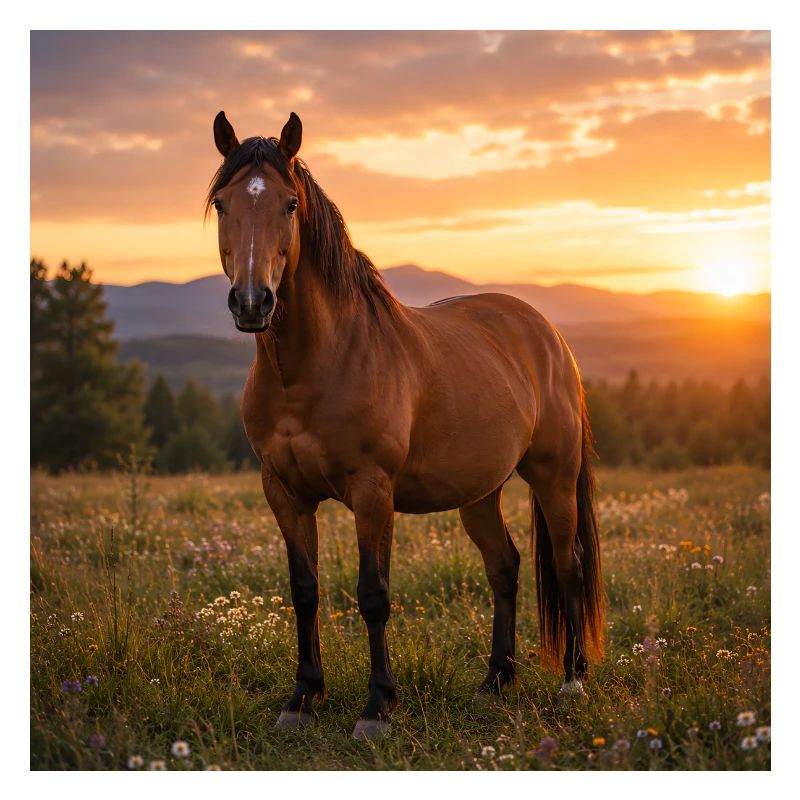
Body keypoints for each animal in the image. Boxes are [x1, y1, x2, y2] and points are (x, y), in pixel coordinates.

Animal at [206, 110, 604, 740]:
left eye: (289, 205)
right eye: (223, 204)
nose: (252, 303)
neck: (315, 364)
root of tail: (547, 334)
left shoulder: (373, 491)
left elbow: (374, 594)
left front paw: (377, 707)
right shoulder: (283, 492)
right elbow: (304, 590)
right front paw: (302, 699)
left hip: (554, 478)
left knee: (568, 566)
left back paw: (571, 683)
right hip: (480, 492)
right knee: (505, 566)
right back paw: (495, 682)